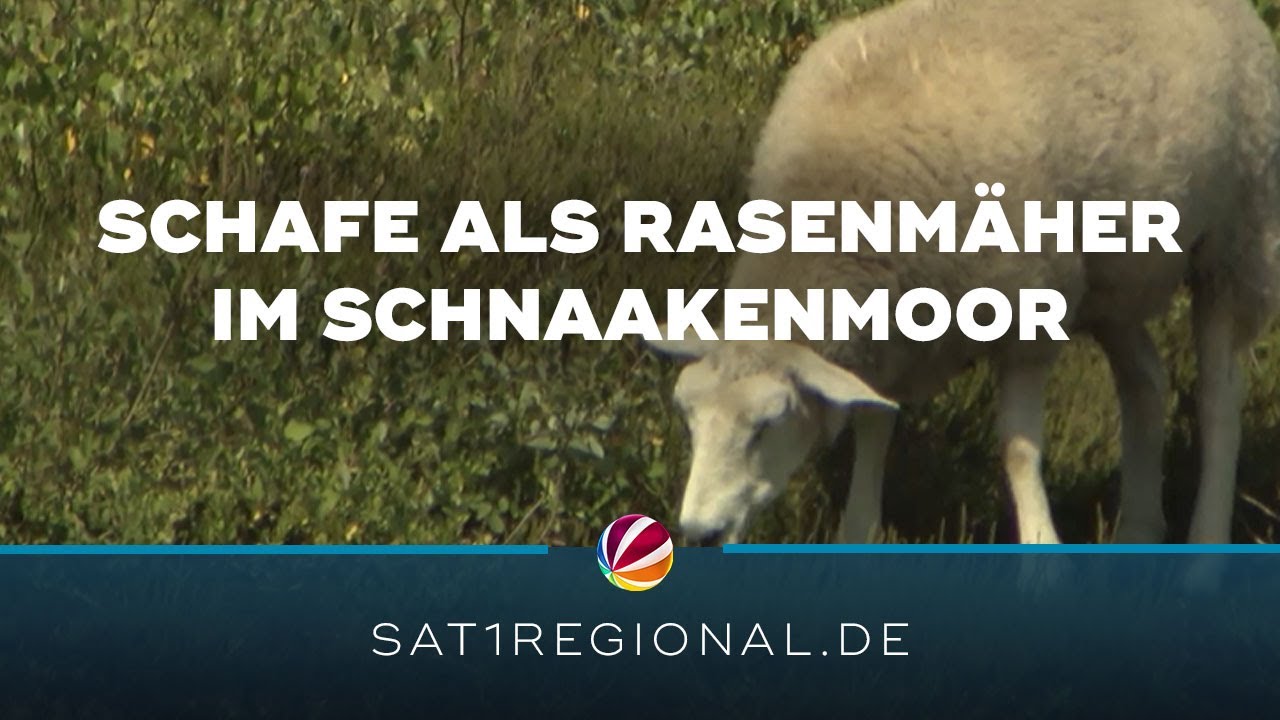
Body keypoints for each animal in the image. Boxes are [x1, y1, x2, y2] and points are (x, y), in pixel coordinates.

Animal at [648, 0, 1280, 545]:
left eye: (767, 425)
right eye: (688, 417)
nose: (699, 533)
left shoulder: (1027, 313)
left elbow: (1018, 449)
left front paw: (1043, 557)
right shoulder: (893, 334)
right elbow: (874, 424)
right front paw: (858, 530)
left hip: (1236, 242)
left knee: (1219, 402)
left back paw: (1203, 552)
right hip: (1110, 278)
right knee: (1146, 380)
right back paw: (1139, 533)